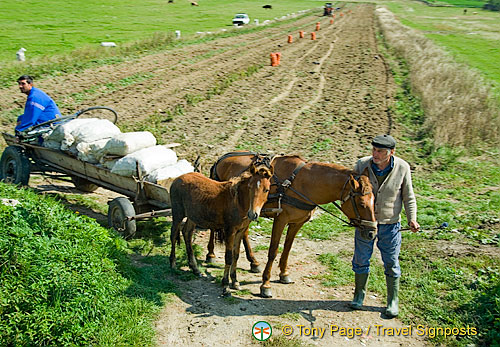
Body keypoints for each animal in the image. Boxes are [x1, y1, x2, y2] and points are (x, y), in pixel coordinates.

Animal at [171, 162, 274, 294]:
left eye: (266, 190)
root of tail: (177, 179)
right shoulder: (230, 230)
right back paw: (173, 264)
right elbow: (228, 257)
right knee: (173, 234)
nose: (253, 214)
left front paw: (235, 282)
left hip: (192, 216)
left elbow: (236, 255)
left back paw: (195, 269)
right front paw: (225, 285)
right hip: (178, 214)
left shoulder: (240, 231)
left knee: (187, 233)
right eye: (250, 187)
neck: (238, 201)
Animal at [207, 153, 376, 300]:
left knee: (244, 234)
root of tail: (220, 160)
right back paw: (211, 254)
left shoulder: (297, 223)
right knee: (214, 227)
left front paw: (284, 274)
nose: (372, 233)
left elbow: (287, 248)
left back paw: (253, 262)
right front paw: (265, 284)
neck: (303, 183)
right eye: (361, 203)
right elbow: (273, 251)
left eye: (374, 201)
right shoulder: (280, 220)